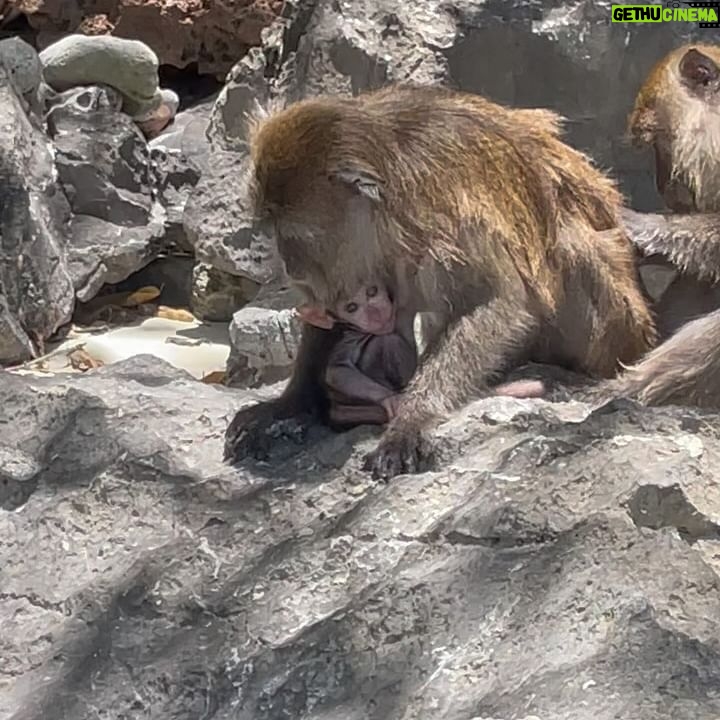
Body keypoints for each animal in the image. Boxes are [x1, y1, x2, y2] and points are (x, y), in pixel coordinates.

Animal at [225, 84, 660, 478]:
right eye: (272, 227)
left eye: (292, 234)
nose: (289, 264)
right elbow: (330, 316)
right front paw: (292, 402)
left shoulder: (451, 222)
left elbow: (497, 303)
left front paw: (413, 417)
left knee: (567, 247)